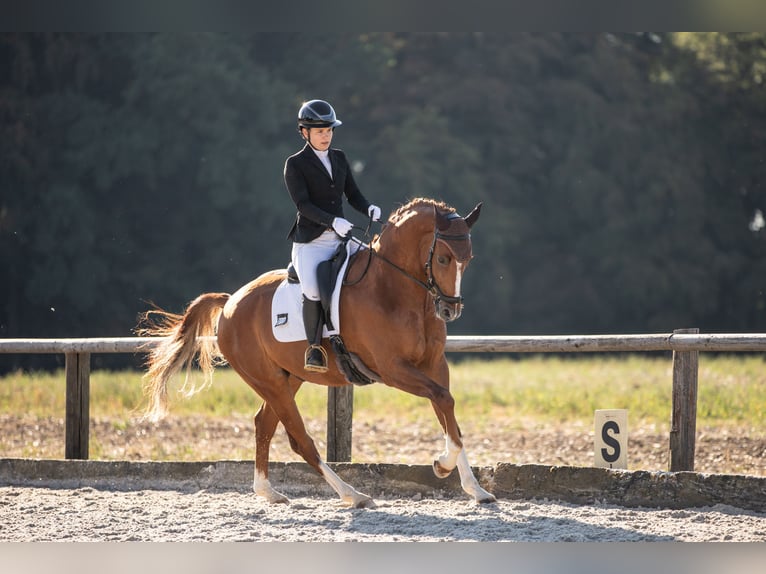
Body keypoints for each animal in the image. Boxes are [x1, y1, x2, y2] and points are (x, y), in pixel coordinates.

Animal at [140, 197, 495, 508]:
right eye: (444, 259)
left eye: (469, 260)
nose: (450, 310)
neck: (394, 289)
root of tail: (230, 302)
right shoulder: (392, 369)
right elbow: (443, 400)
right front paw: (443, 464)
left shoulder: (434, 365)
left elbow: (447, 411)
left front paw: (474, 489)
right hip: (269, 382)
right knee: (300, 440)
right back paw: (353, 495)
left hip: (289, 378)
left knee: (264, 424)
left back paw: (268, 492)